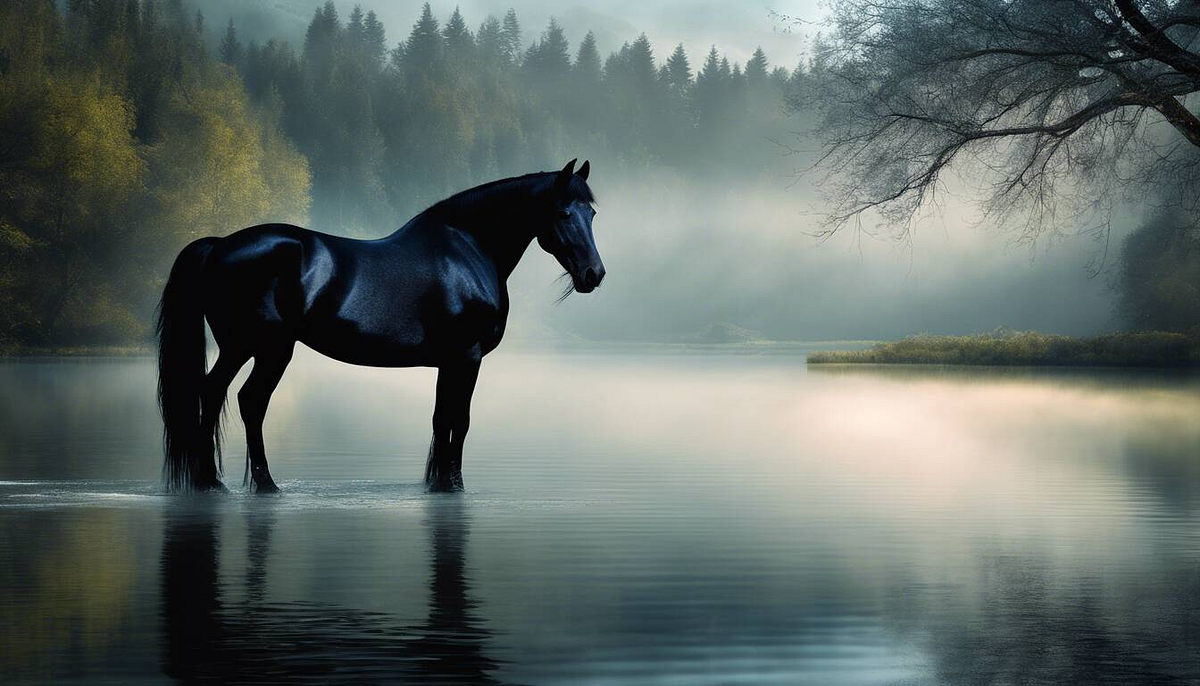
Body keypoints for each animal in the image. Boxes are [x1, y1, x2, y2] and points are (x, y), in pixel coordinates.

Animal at [157, 159, 603, 493]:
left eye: (592, 213)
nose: (593, 274)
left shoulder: (450, 362)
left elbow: (444, 418)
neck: (468, 249)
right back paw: (264, 485)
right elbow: (457, 420)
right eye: (563, 212)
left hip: (241, 348)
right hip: (268, 349)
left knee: (213, 392)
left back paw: (210, 481)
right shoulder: (467, 357)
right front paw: (452, 486)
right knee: (249, 401)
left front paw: (440, 484)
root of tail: (220, 245)